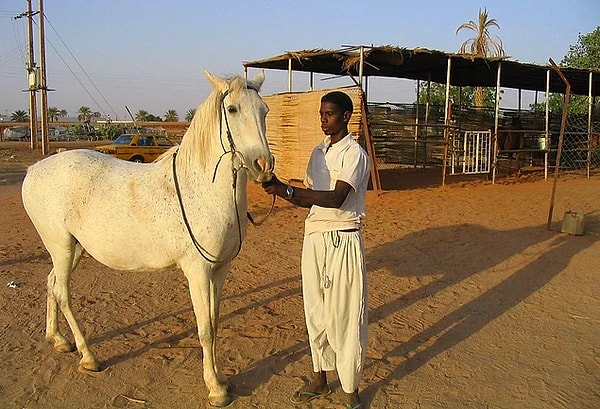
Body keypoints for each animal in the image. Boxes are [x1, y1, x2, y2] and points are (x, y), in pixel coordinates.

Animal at [21, 70, 274, 404]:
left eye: (264, 111)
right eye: (232, 109)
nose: (264, 166)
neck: (201, 189)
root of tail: (34, 169)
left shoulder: (220, 269)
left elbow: (215, 321)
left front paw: (221, 378)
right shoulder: (197, 271)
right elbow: (205, 328)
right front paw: (215, 389)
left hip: (72, 248)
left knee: (51, 283)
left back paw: (58, 339)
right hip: (60, 246)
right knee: (63, 293)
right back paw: (88, 357)